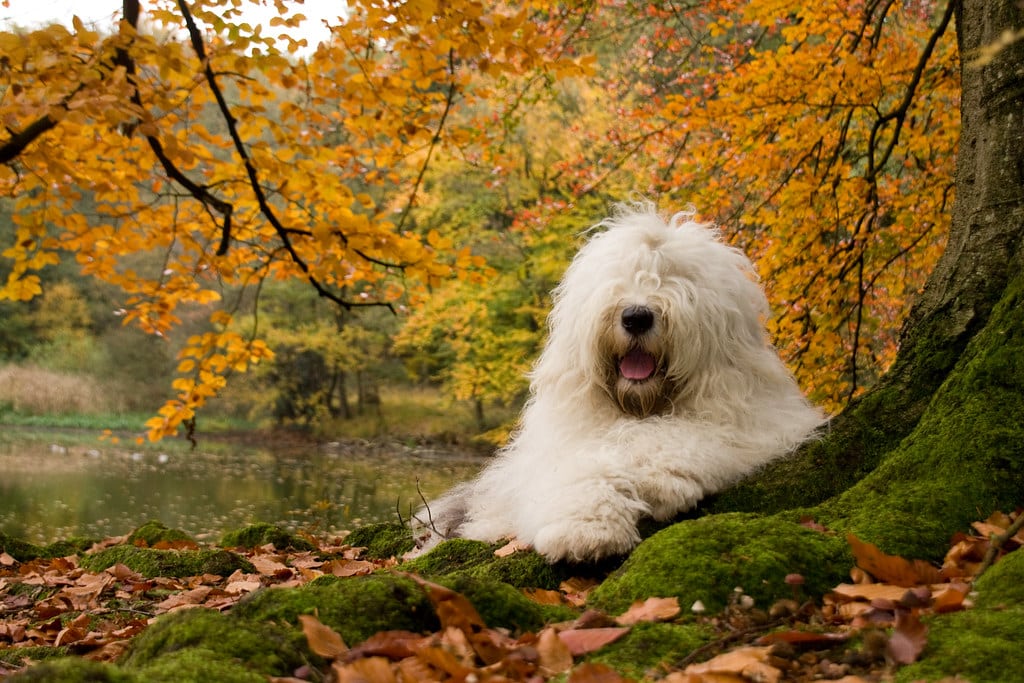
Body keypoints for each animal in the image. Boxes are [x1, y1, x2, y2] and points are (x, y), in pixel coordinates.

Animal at [415, 201, 823, 561]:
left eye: (677, 278)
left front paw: (660, 482)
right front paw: (586, 531)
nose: (636, 316)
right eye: (620, 276)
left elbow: (681, 438)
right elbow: (580, 472)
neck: (640, 407)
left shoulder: (749, 422)